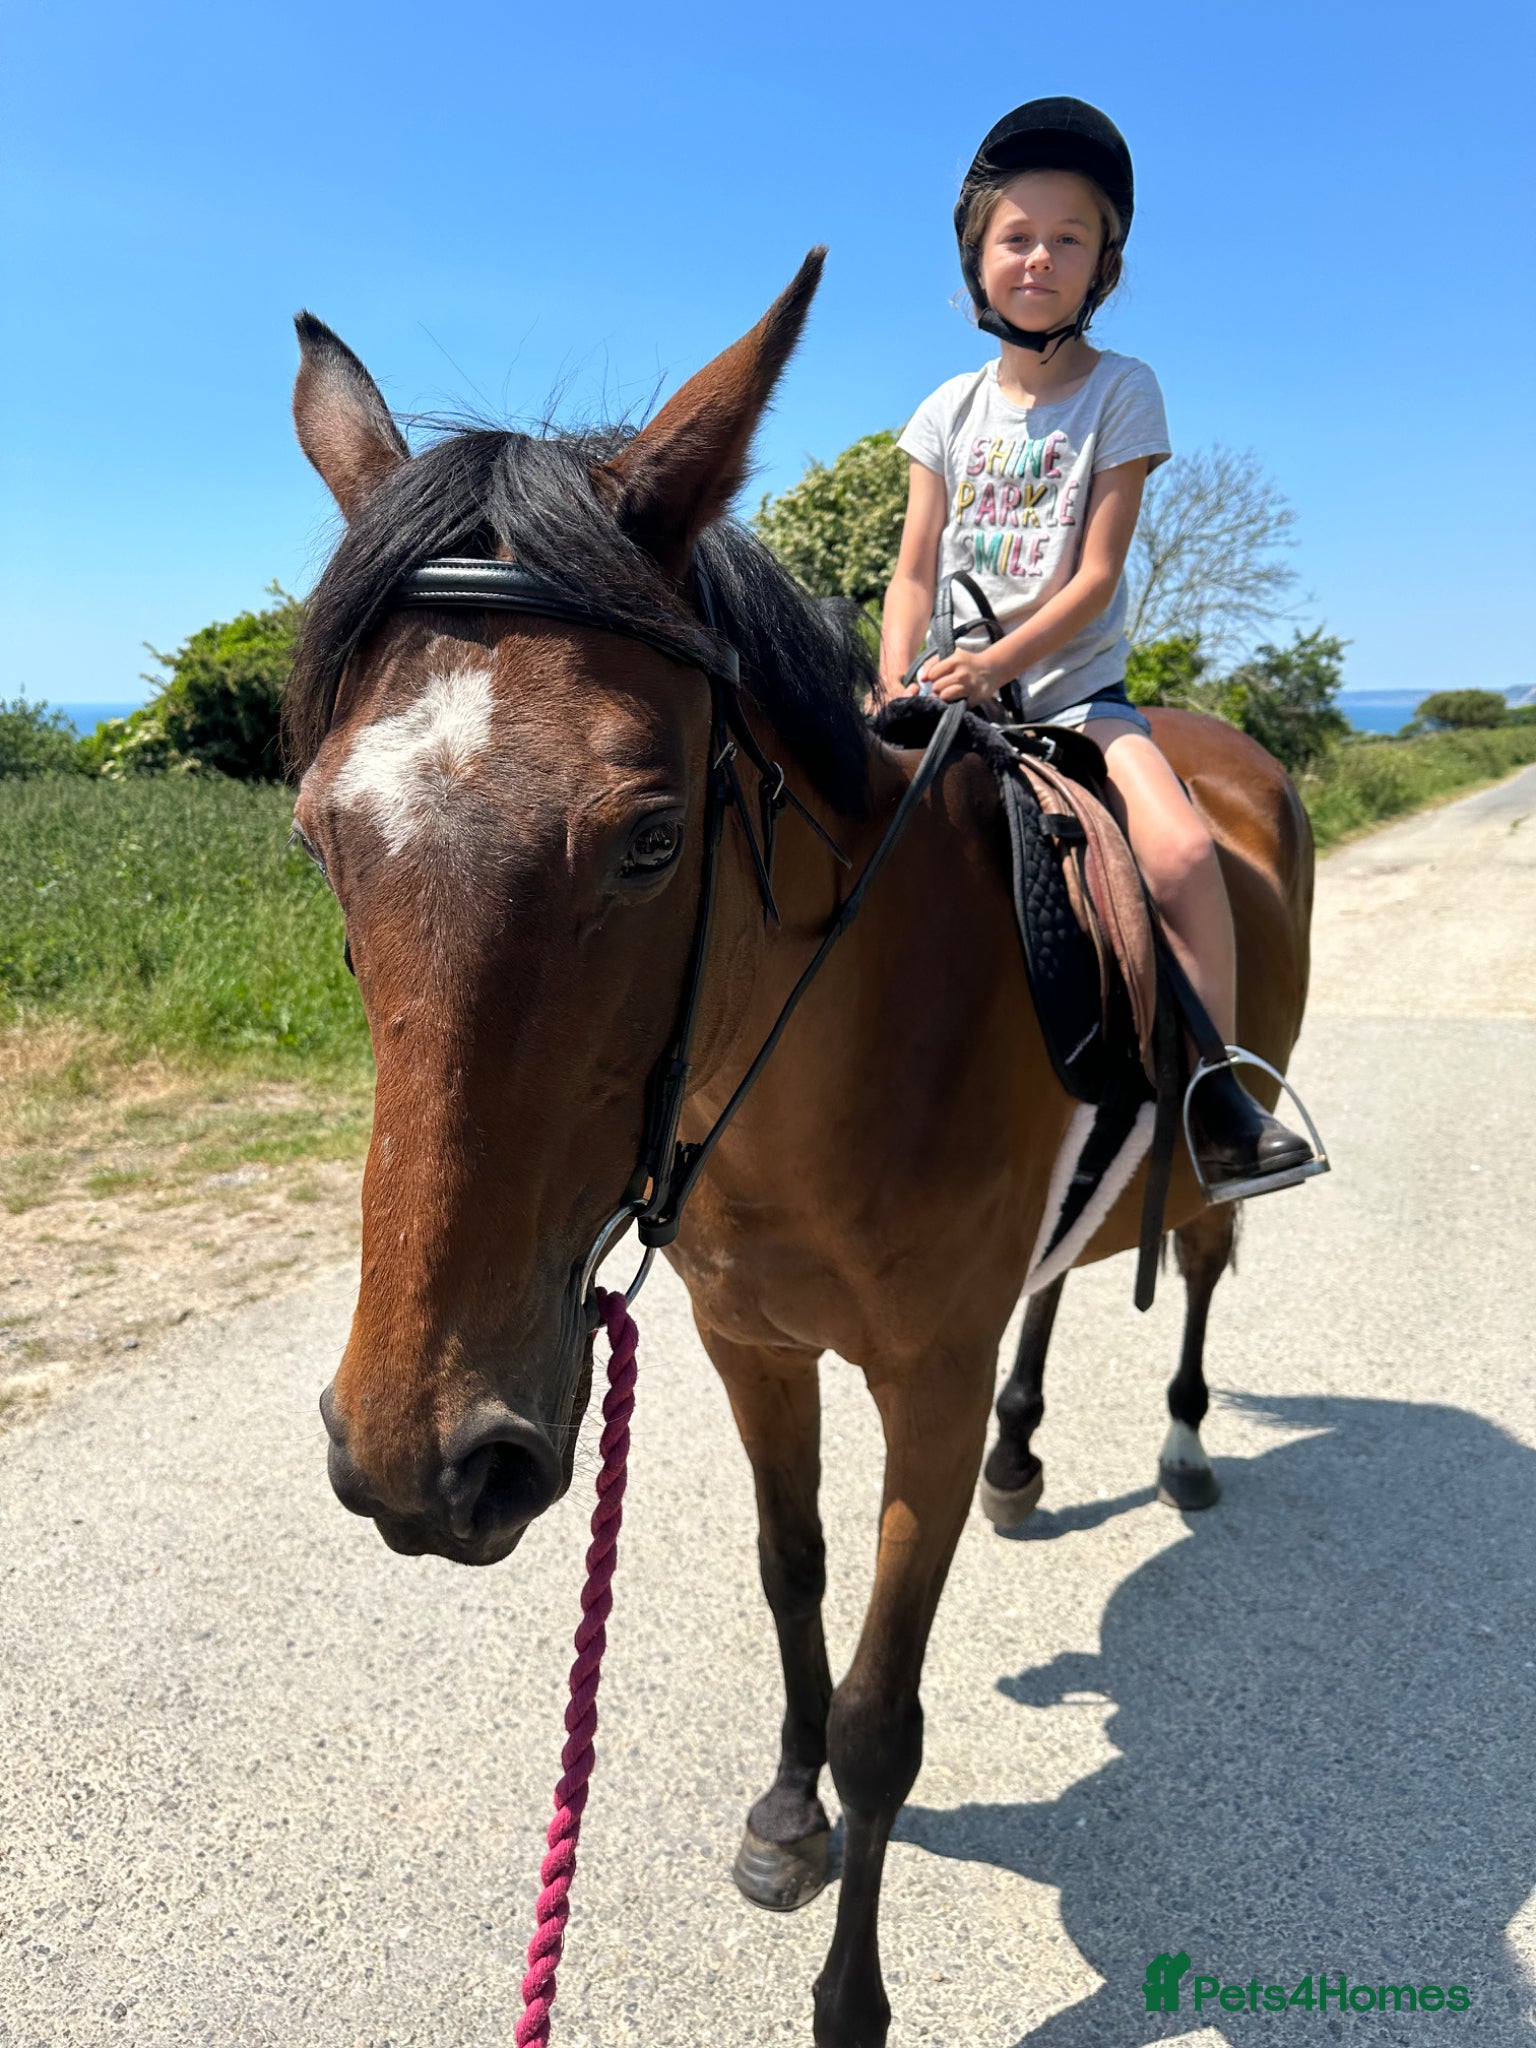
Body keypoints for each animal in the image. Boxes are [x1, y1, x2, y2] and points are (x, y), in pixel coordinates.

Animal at [285, 250, 1314, 2048]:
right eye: (319, 836)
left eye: (649, 838)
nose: (422, 1459)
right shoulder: (748, 1343)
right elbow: (790, 1577)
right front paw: (782, 1814)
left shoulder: (921, 1381)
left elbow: (881, 1712)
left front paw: (852, 1994)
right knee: (1063, 1281)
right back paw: (1028, 1458)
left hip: (1215, 1135)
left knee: (1195, 1256)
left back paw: (1183, 1441)